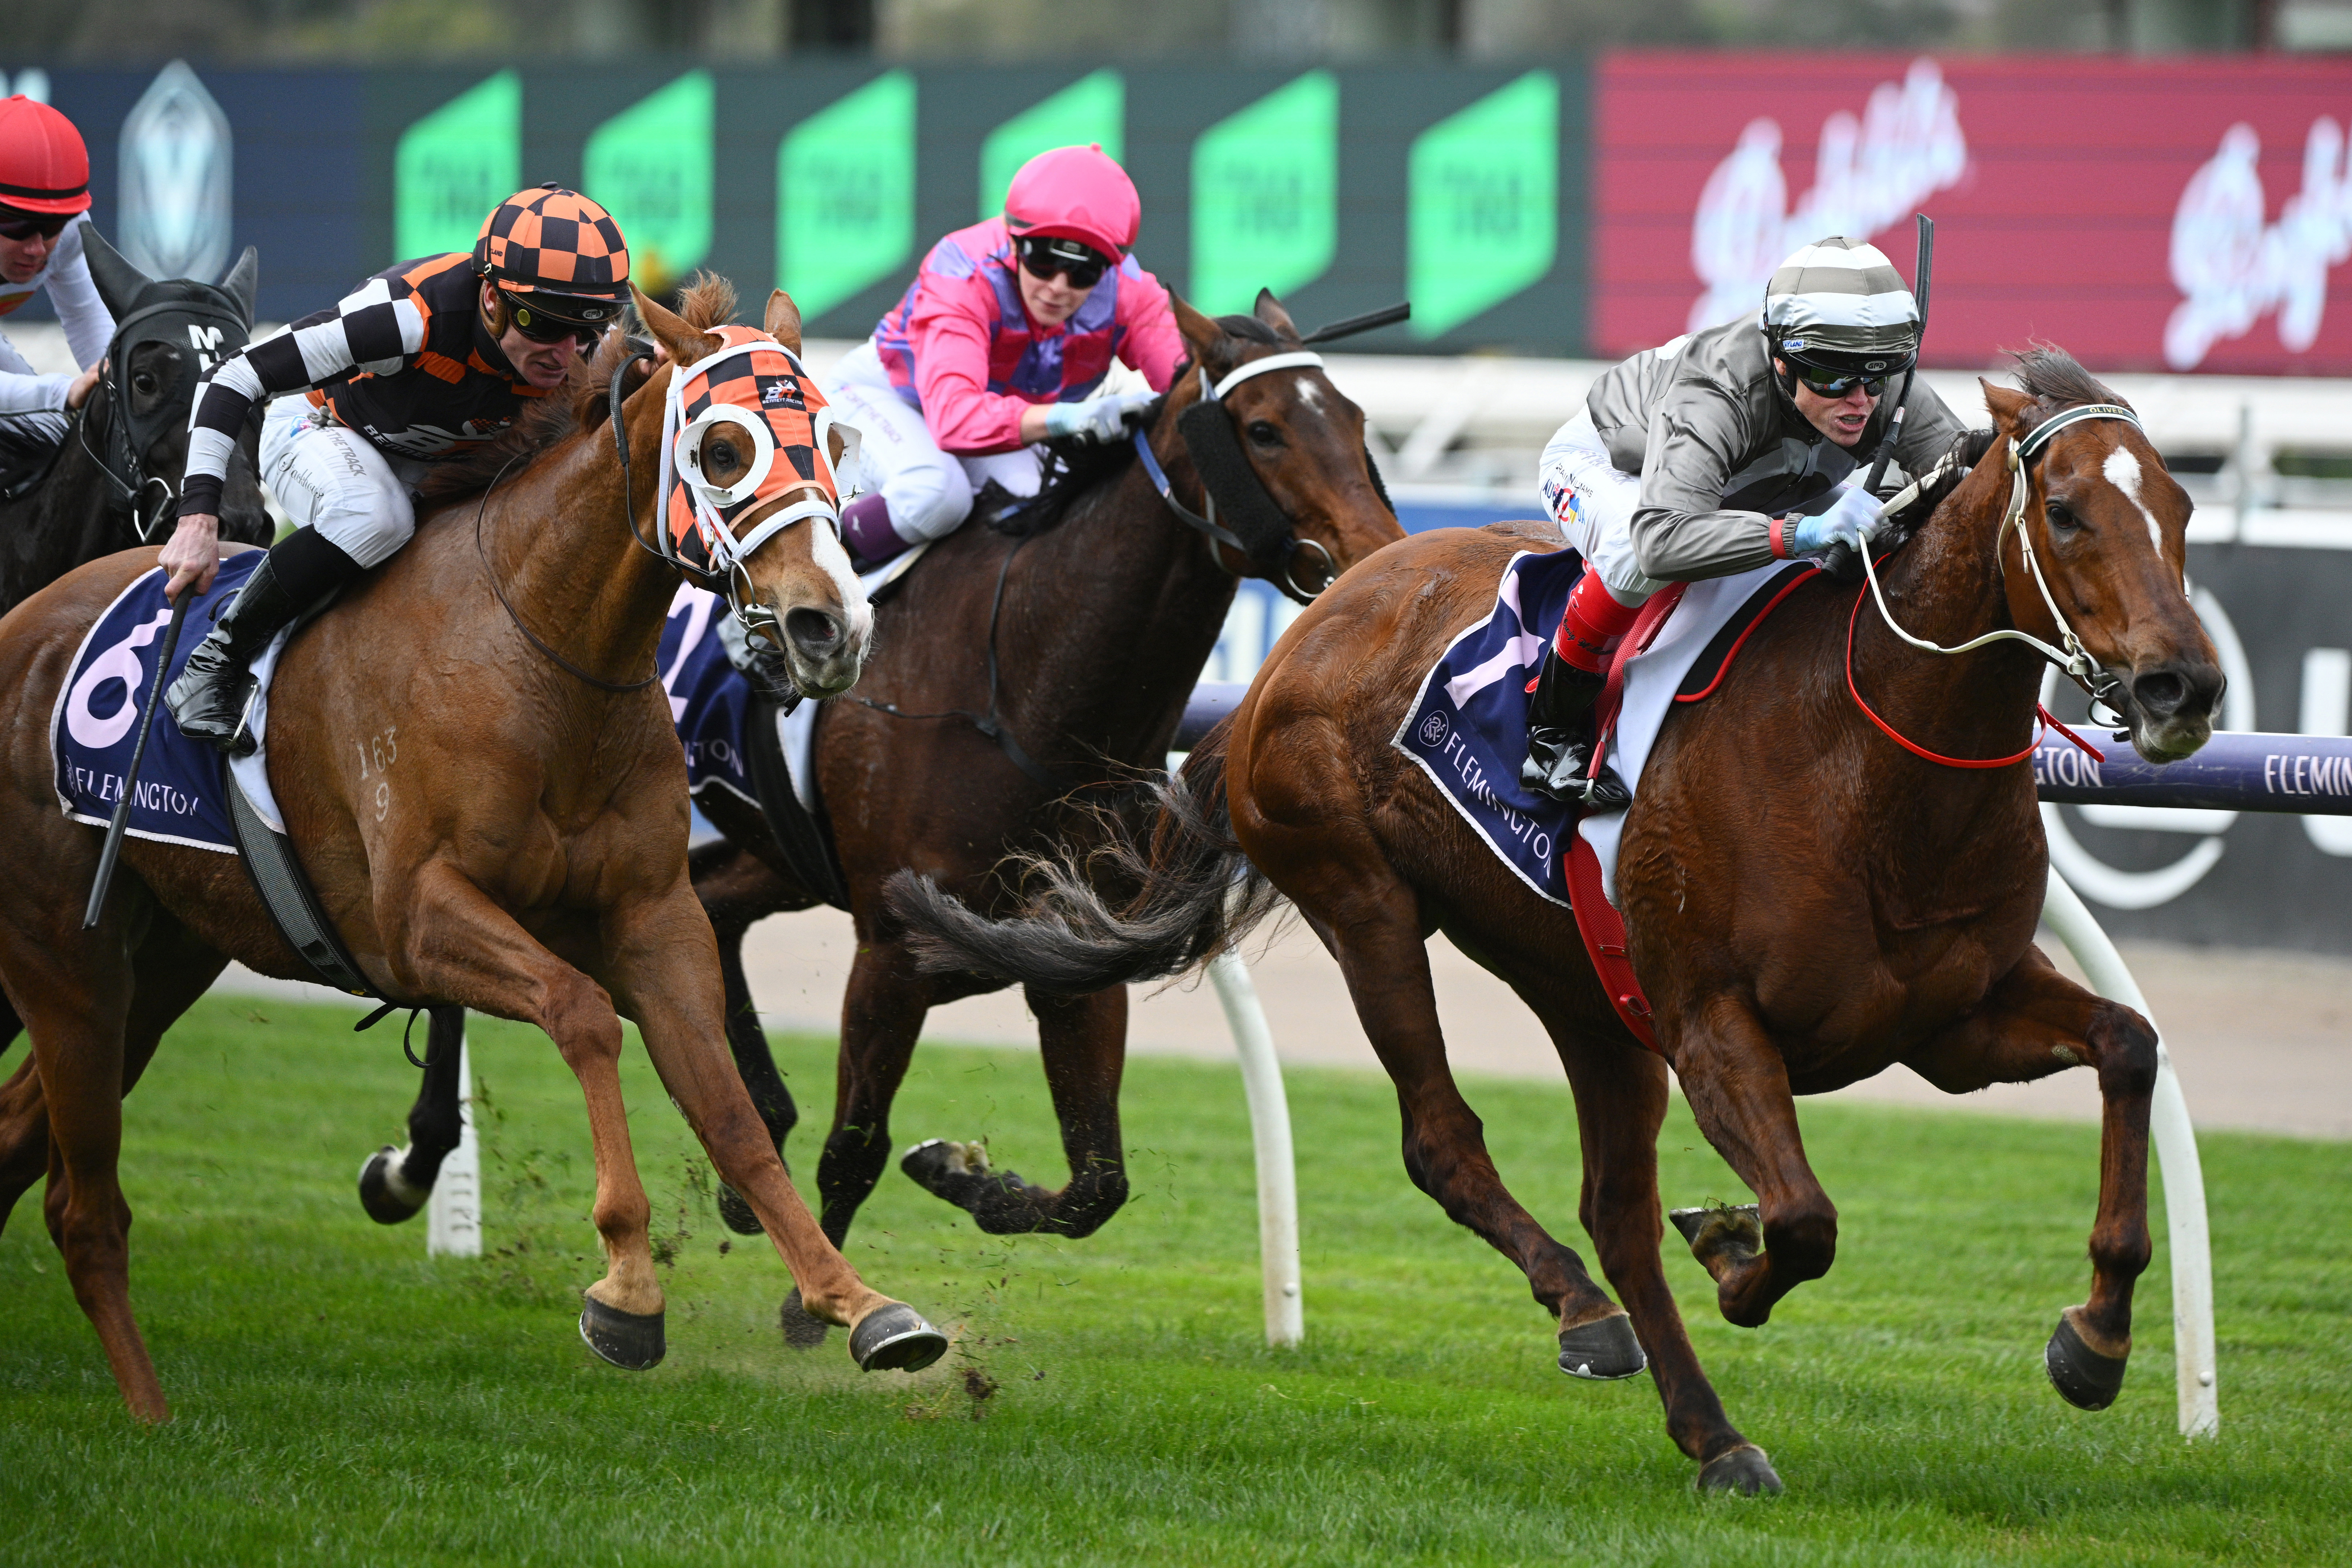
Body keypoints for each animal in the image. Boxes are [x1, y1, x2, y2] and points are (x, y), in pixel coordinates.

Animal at [0, 278, 945, 1420]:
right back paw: (151, 1414)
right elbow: (582, 1017)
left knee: (28, 1149)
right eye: (722, 448)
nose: (828, 627)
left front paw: (857, 1303)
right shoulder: (418, 917)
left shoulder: (652, 914)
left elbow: (727, 1108)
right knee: (83, 1203)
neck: (539, 651)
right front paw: (628, 1290)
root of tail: (20, 625)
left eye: (837, 443)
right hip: (66, 956)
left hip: (165, 954)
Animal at [884, 350, 2220, 1504]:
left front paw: (2094, 1340)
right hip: (1366, 901)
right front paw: (1732, 1249)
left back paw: (1712, 1432)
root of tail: (1309, 631)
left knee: (1615, 1213)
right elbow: (1802, 1218)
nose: (2183, 686)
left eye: (2180, 505)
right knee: (1447, 1143)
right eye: (2065, 510)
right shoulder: (1713, 1022)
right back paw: (1591, 1318)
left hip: (1584, 989)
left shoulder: (1949, 1021)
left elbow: (2131, 1048)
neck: (1866, 758)